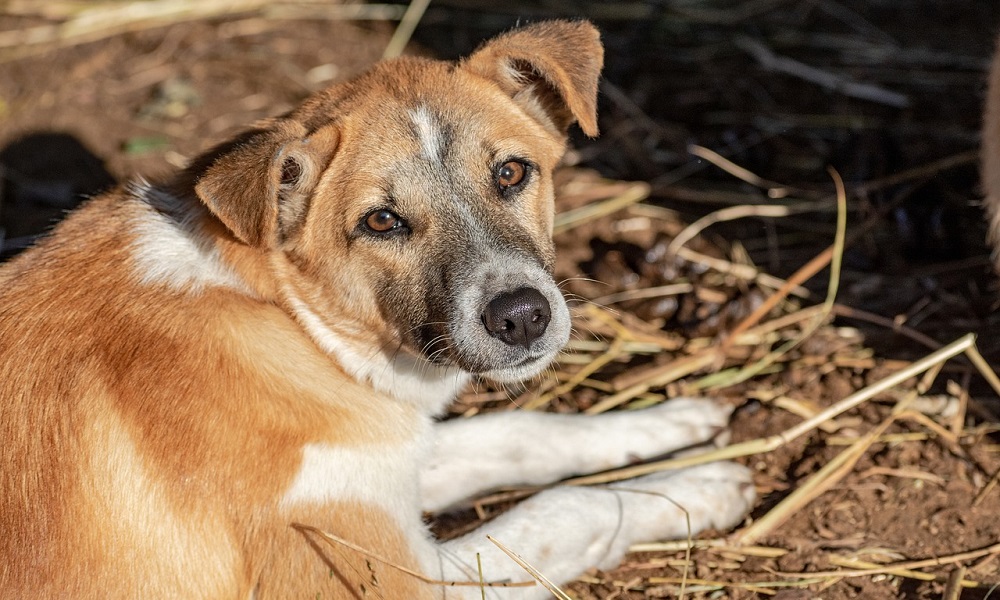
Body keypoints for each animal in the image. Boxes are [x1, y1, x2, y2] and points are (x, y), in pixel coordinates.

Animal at [0, 21, 752, 596]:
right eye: (381, 221)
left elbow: (523, 432)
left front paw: (674, 431)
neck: (290, 321)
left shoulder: (386, 450)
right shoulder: (393, 575)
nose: (522, 316)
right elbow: (571, 506)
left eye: (511, 172)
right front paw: (698, 490)